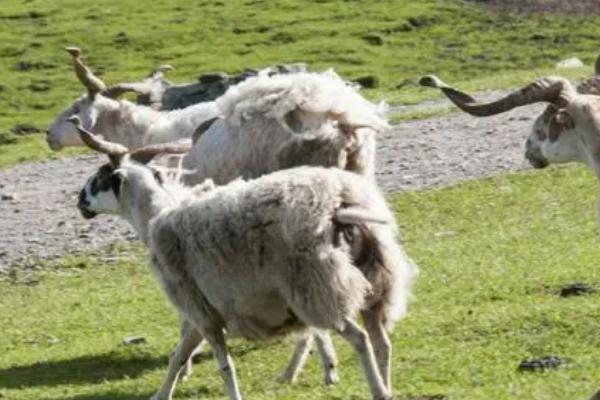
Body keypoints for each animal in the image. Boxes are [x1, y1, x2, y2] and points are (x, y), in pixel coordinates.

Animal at [74, 117, 418, 398]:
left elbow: (220, 365)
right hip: (373, 282)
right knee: (382, 342)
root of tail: (339, 206)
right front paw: (162, 394)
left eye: (100, 178)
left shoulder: (199, 308)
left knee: (361, 340)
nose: (80, 202)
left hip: (318, 286)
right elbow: (178, 356)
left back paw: (377, 390)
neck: (155, 216)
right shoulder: (201, 311)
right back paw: (386, 388)